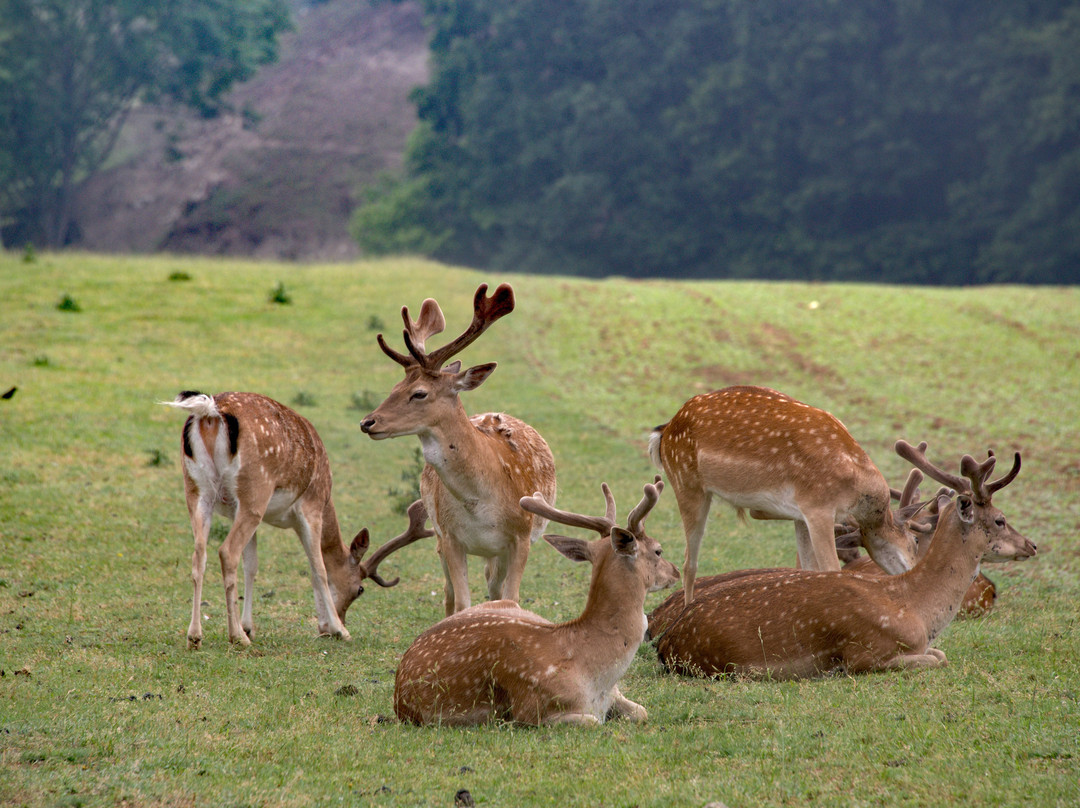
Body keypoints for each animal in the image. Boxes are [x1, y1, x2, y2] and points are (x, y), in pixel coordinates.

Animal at [162, 391, 432, 648]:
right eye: (360, 589)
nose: (332, 626)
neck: (327, 500)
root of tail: (210, 413)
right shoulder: (311, 508)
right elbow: (318, 568)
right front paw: (341, 631)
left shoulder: (236, 512)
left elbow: (252, 565)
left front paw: (249, 626)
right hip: (255, 491)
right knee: (227, 552)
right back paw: (236, 637)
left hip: (198, 490)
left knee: (199, 554)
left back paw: (195, 636)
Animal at [360, 280, 557, 613]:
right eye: (395, 387)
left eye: (419, 393)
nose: (368, 422)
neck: (481, 503)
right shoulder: (450, 536)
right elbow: (463, 602)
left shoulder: (521, 535)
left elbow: (511, 598)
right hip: (441, 540)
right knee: (450, 594)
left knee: (493, 588)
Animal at [393, 477, 678, 730]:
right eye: (658, 550)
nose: (675, 571)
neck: (596, 672)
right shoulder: (533, 710)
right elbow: (594, 722)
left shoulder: (615, 694)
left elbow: (642, 712)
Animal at [648, 386, 920, 604]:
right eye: (916, 540)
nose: (915, 570)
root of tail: (664, 431)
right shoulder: (818, 507)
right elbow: (831, 569)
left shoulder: (803, 514)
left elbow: (810, 571)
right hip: (687, 484)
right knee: (689, 563)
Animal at [648, 438, 1036, 678]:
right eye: (1000, 520)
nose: (1031, 545)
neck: (915, 609)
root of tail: (666, 641)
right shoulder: (865, 653)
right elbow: (938, 659)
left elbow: (940, 654)